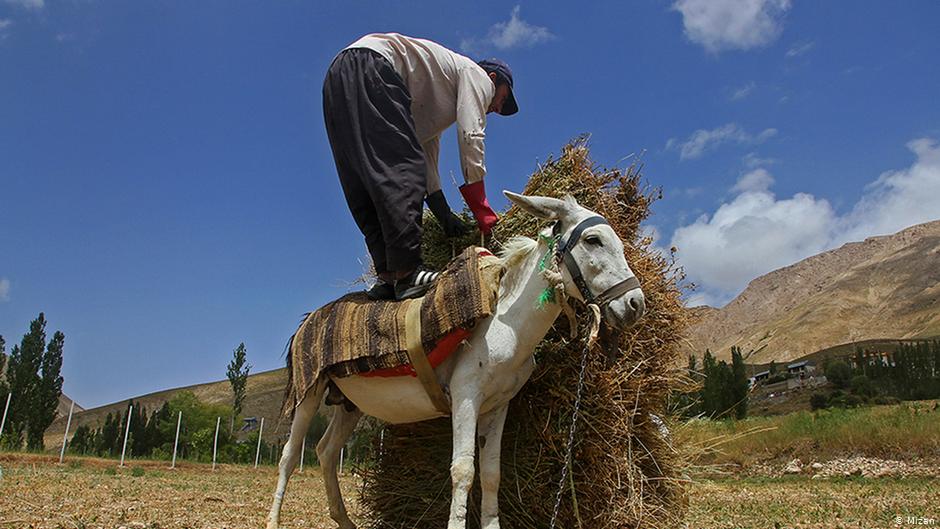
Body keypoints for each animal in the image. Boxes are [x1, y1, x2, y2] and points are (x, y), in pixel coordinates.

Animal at [266, 191, 647, 529]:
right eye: (593, 240)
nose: (635, 304)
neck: (503, 323)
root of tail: (308, 319)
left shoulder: (498, 406)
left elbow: (492, 474)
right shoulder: (466, 398)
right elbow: (463, 471)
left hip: (350, 403)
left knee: (326, 451)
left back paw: (344, 520)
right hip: (309, 391)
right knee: (289, 455)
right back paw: (274, 520)